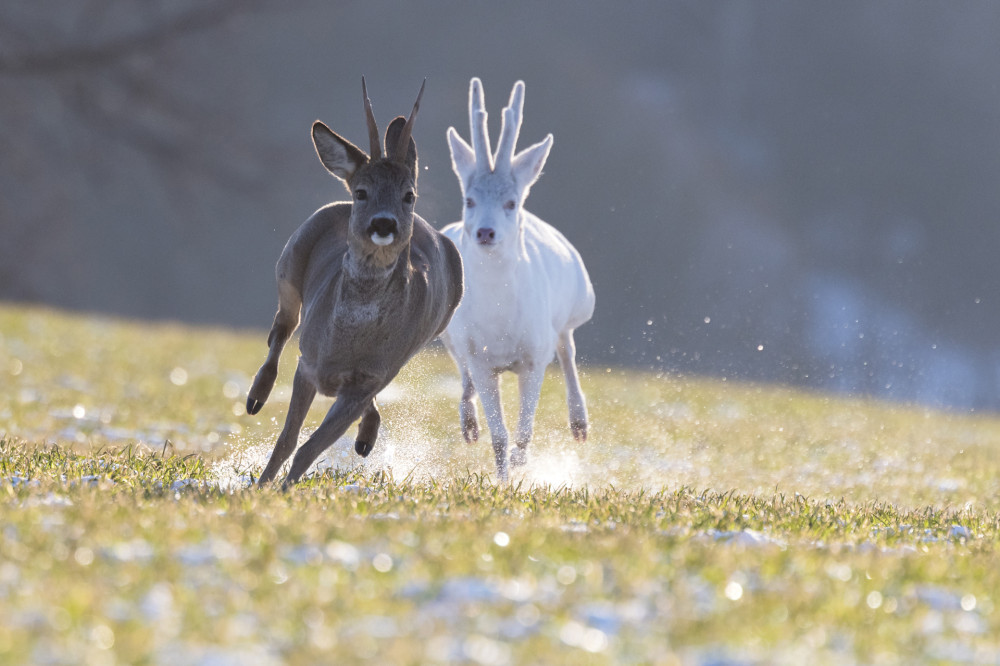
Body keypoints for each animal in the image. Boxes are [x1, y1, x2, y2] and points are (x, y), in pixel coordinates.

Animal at [246, 79, 464, 488]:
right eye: (362, 192)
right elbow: (287, 439)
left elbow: (309, 448)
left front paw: (283, 489)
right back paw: (255, 397)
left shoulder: (369, 379)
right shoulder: (309, 364)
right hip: (289, 264)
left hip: (417, 344)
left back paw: (365, 440)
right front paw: (264, 485)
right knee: (281, 328)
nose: (384, 223)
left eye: (408, 195)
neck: (348, 339)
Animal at [440, 78, 592, 480]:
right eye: (469, 200)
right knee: (461, 372)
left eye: (511, 203)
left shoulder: (534, 358)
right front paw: (502, 477)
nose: (485, 232)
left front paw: (520, 464)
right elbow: (500, 435)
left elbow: (524, 431)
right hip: (448, 332)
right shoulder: (480, 357)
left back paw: (580, 425)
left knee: (567, 346)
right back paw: (469, 425)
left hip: (579, 304)